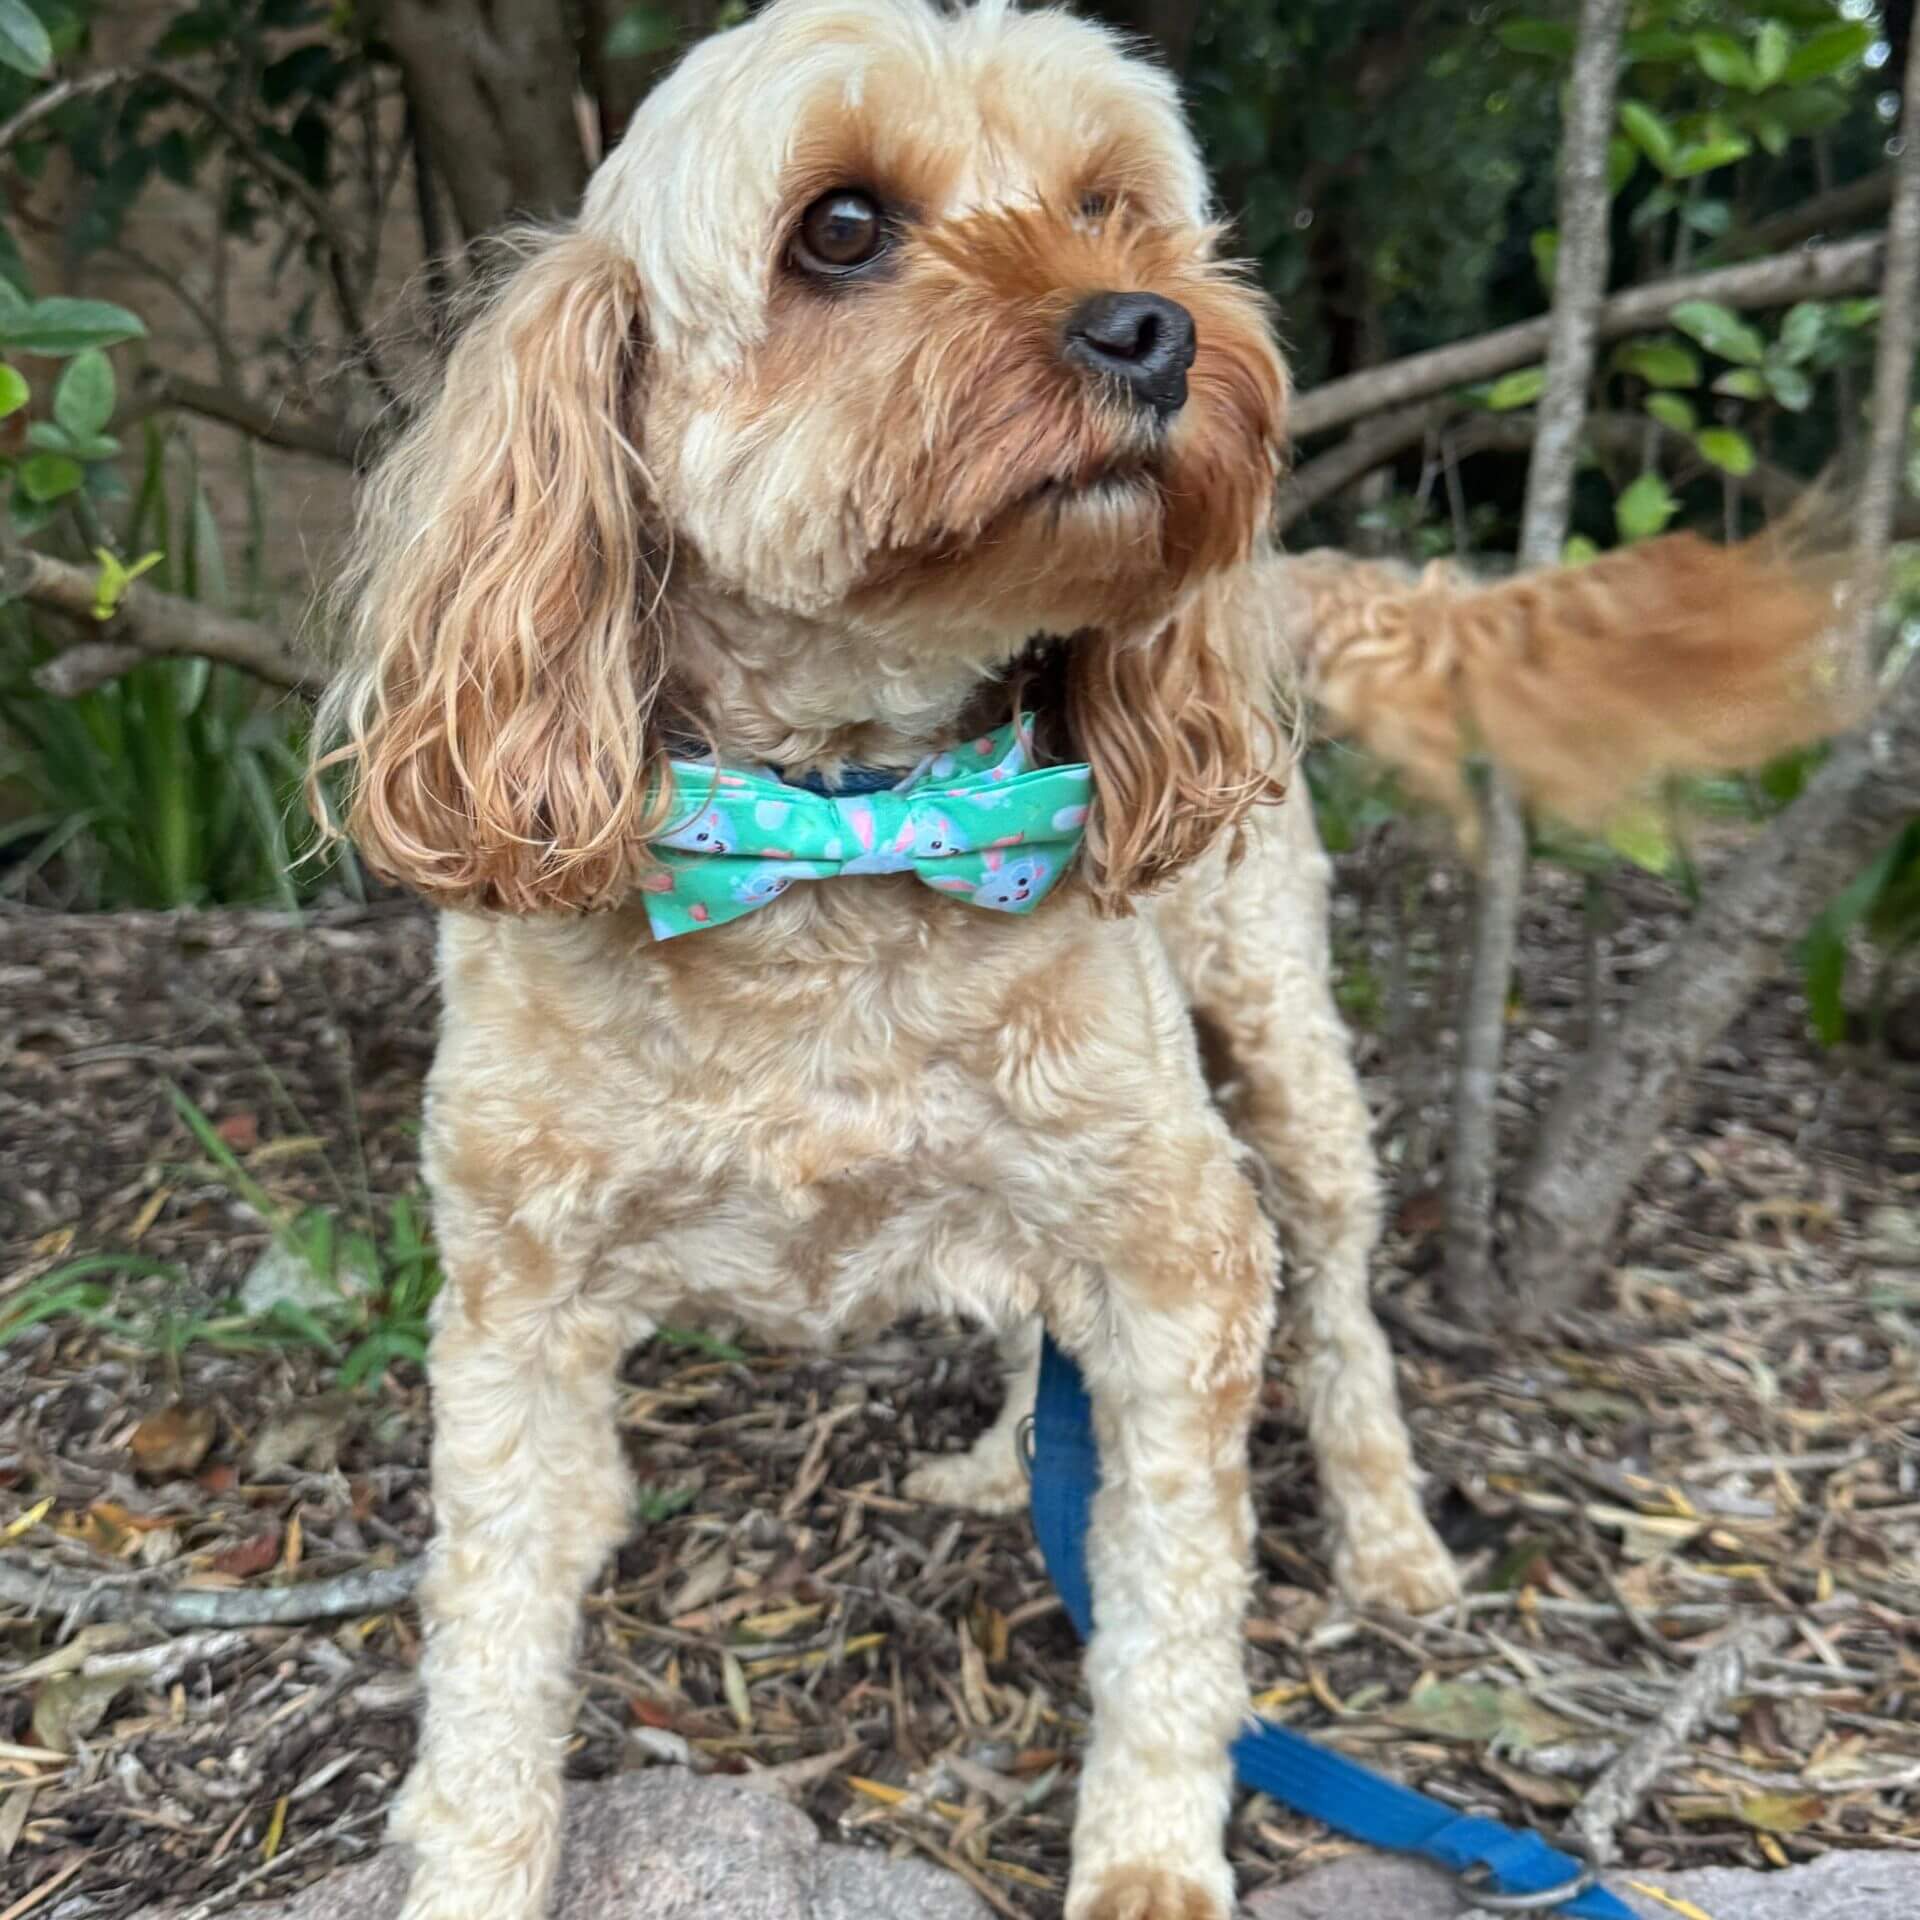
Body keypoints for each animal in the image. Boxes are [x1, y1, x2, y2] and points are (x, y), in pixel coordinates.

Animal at [314, 7, 1843, 1912]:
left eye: (1113, 204)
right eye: (840, 227)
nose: (1154, 325)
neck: (849, 830)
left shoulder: (1187, 1254)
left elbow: (1172, 1608)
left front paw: (1148, 1860)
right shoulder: (510, 1313)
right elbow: (491, 1645)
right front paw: (471, 1857)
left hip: (1278, 1057)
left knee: (1342, 1308)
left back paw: (1392, 1541)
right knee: (1038, 1326)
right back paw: (1000, 1469)